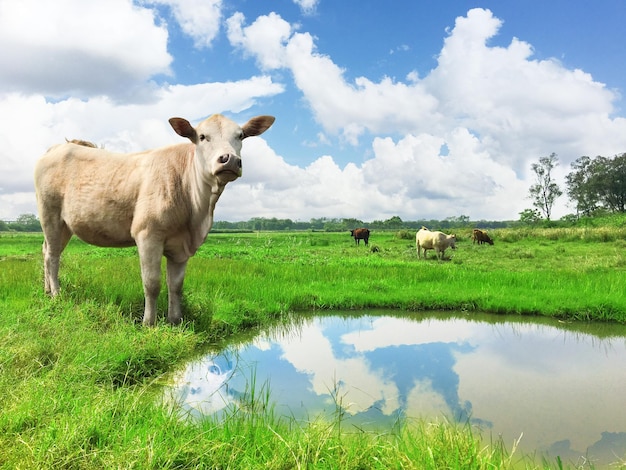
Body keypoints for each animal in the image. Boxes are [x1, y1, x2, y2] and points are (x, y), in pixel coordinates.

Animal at [34, 114, 272, 326]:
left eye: (240, 136)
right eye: (203, 136)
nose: (229, 159)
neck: (197, 215)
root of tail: (58, 147)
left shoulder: (182, 246)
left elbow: (176, 285)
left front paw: (175, 320)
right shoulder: (148, 234)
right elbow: (152, 283)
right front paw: (149, 323)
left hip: (65, 225)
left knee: (46, 250)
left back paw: (46, 290)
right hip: (50, 214)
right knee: (52, 256)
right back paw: (56, 294)